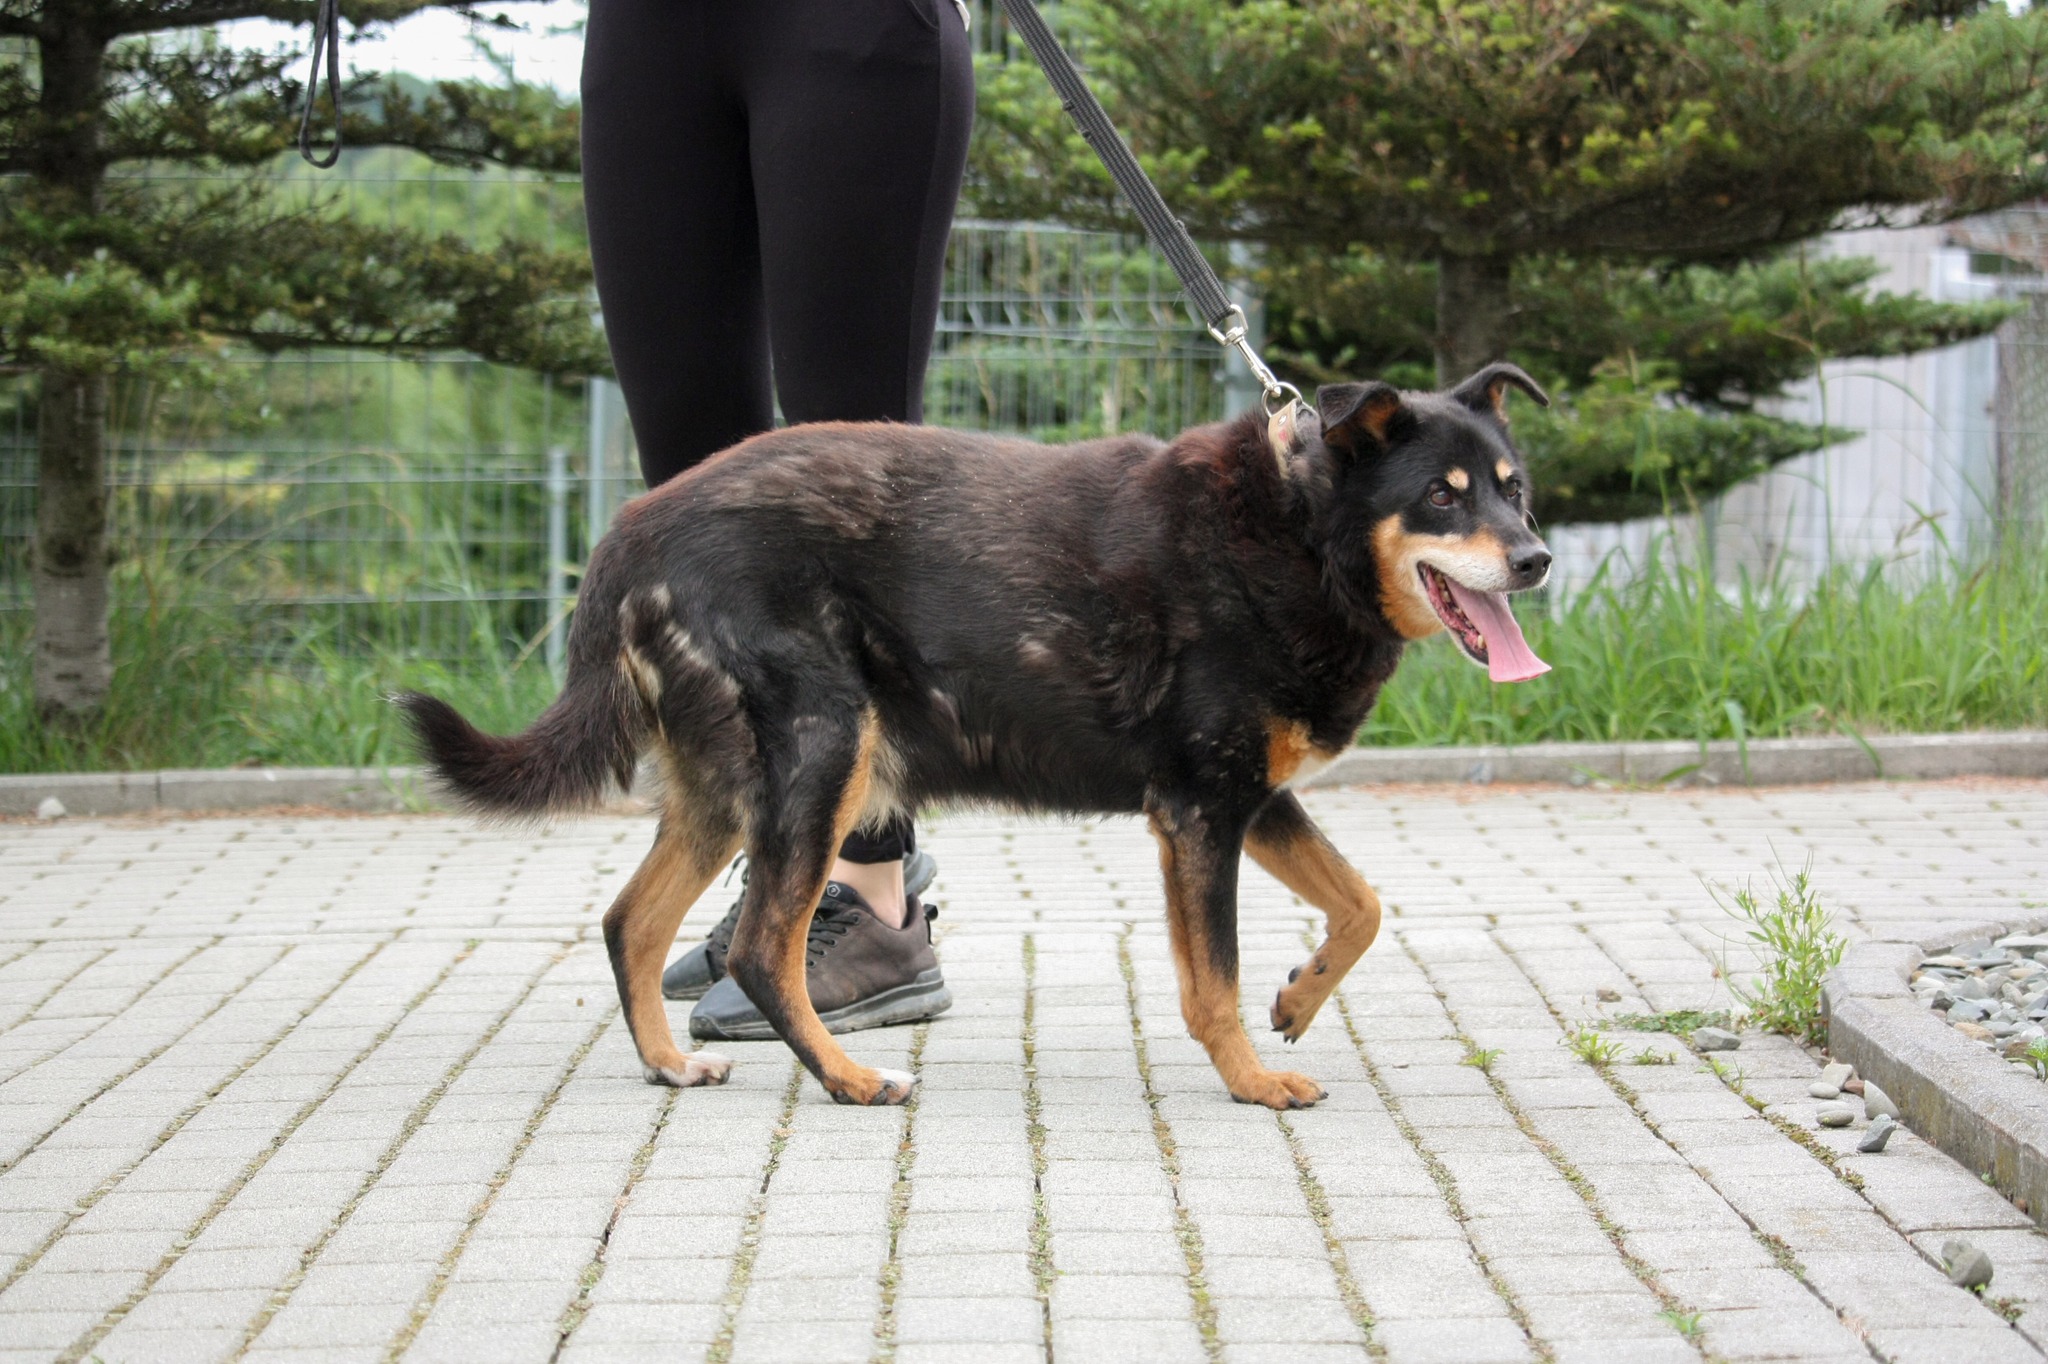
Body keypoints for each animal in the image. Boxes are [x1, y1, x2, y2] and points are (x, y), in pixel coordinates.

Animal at [399, 363, 1554, 1110]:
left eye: (1514, 489)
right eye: (1441, 497)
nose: (1538, 560)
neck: (1300, 531)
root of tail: (629, 532)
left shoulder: (1248, 798)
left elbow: (1360, 904)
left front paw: (1299, 999)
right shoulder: (1201, 811)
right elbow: (1212, 980)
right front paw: (1253, 1079)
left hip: (727, 791)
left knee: (629, 922)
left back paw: (669, 1066)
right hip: (824, 757)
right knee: (765, 947)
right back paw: (850, 1077)